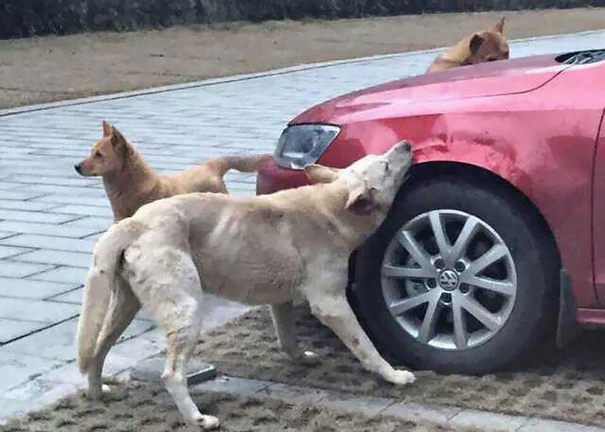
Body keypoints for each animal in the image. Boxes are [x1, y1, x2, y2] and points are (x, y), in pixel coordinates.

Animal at [75, 141, 416, 428]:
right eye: (386, 165)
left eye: (381, 156)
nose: (407, 144)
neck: (332, 207)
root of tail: (134, 222)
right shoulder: (331, 304)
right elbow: (366, 346)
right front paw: (393, 375)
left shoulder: (281, 300)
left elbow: (287, 338)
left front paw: (299, 357)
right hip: (187, 309)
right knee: (171, 375)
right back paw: (197, 418)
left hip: (123, 307)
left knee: (97, 349)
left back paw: (97, 393)